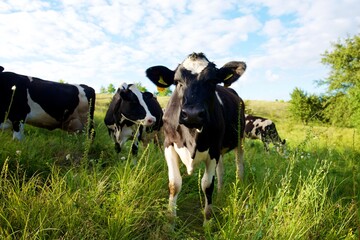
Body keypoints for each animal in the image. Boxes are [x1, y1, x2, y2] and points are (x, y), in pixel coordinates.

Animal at [145, 51, 246, 222]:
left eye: (212, 81)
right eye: (177, 81)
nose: (192, 114)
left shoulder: (213, 149)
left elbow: (207, 185)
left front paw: (208, 221)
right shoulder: (169, 144)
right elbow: (174, 184)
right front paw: (170, 221)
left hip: (239, 140)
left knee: (239, 166)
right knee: (221, 171)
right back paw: (220, 194)